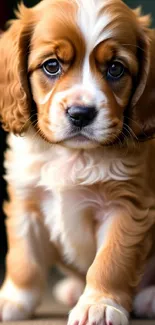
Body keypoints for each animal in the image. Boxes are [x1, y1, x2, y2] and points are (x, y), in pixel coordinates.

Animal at [0, 0, 155, 322]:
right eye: (52, 65)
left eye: (115, 68)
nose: (81, 114)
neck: (72, 154)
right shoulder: (26, 202)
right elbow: (23, 259)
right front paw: (13, 300)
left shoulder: (126, 207)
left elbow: (110, 262)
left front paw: (99, 304)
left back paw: (149, 299)